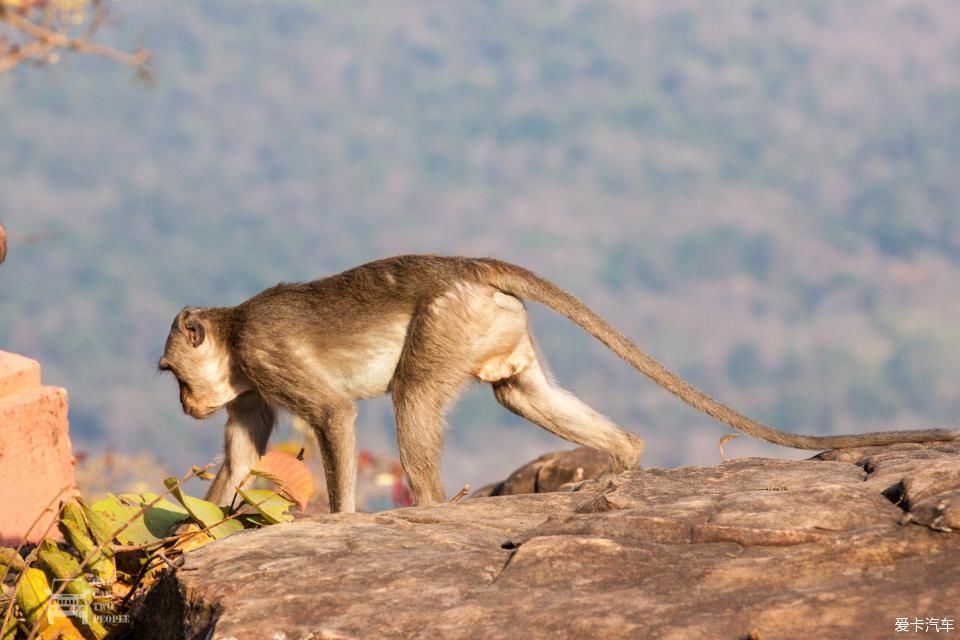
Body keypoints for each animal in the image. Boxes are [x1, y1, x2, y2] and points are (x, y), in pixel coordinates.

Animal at [158, 252, 952, 512]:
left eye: (170, 372)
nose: (185, 401)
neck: (233, 332)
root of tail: (466, 266)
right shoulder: (251, 381)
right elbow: (242, 452)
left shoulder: (264, 355)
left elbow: (333, 415)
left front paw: (339, 520)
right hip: (490, 326)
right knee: (519, 392)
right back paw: (626, 456)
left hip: (450, 318)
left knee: (413, 398)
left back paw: (435, 507)